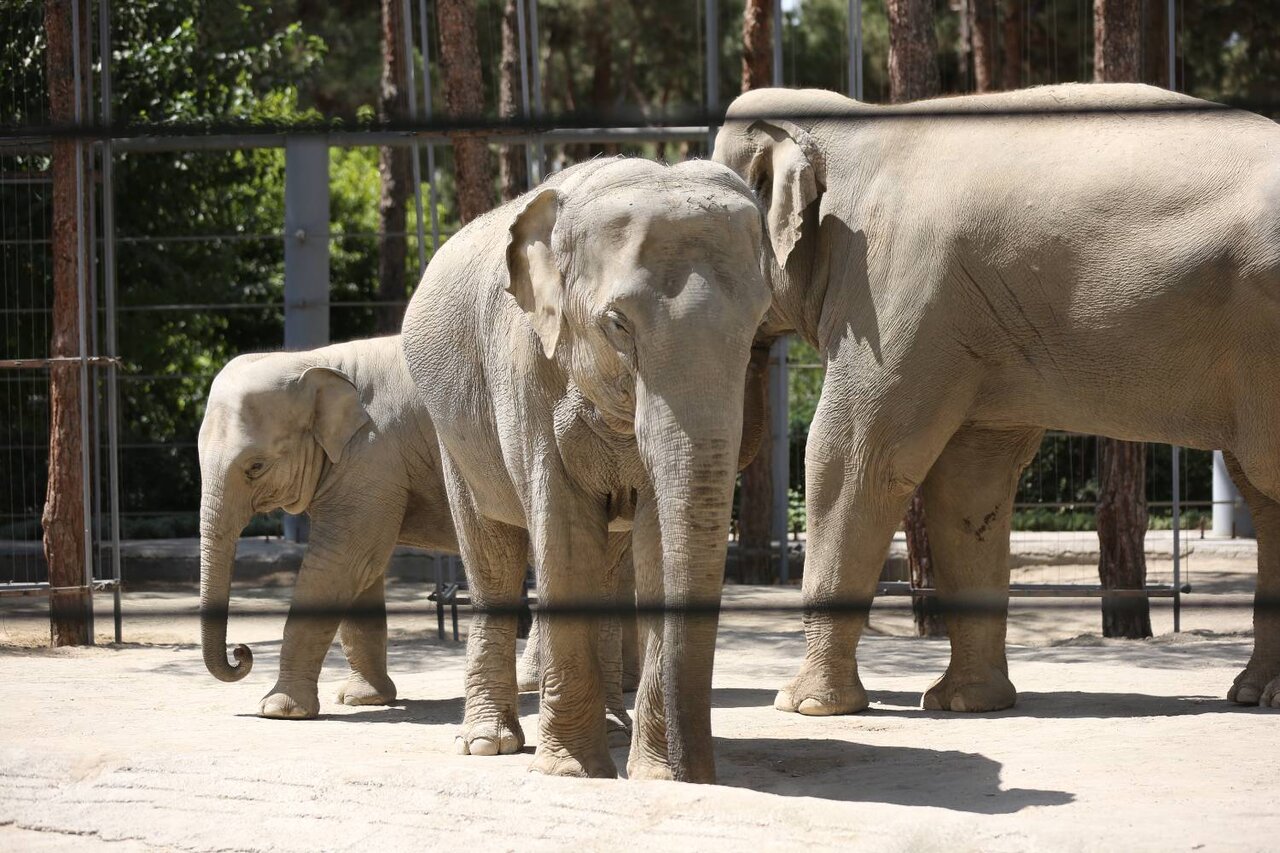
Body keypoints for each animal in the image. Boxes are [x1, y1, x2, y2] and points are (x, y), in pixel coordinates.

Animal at [401, 156, 768, 778]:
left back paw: (614, 729)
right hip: (452, 429)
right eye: (618, 325)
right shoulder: (524, 365)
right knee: (492, 555)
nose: (698, 773)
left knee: (609, 563)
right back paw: (486, 742)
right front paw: (573, 772)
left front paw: (653, 774)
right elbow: (564, 532)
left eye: (759, 323)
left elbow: (654, 542)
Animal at [716, 84, 1280, 712]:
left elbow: (854, 461)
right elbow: (967, 485)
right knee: (1261, 491)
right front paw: (966, 704)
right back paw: (1255, 692)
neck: (853, 125)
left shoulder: (897, 289)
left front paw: (804, 705)